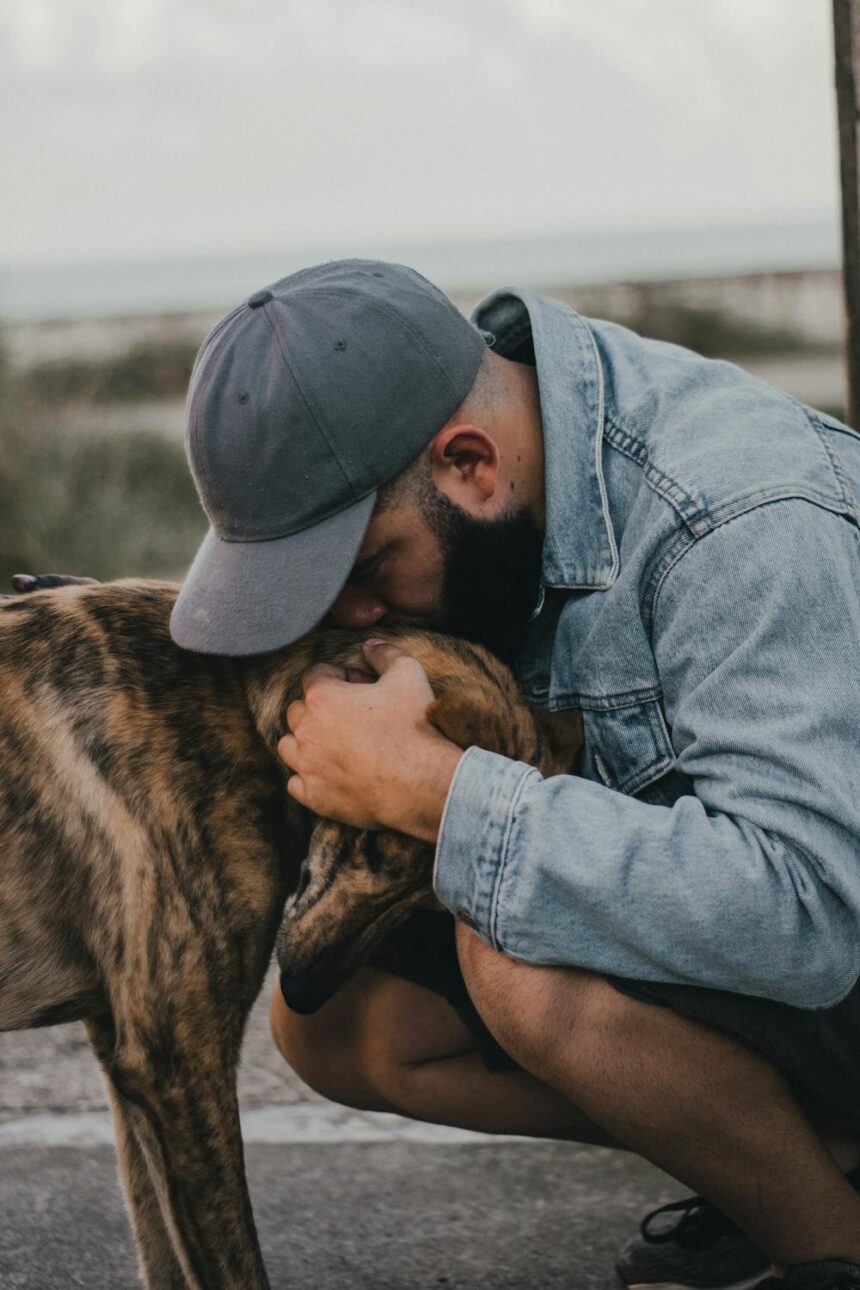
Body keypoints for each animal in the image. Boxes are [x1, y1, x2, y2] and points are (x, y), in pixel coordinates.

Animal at [0, 577, 582, 1290]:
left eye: (434, 901)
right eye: (370, 839)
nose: (303, 995)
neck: (240, 701)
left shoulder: (121, 1050)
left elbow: (163, 1253)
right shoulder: (175, 1062)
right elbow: (235, 1264)